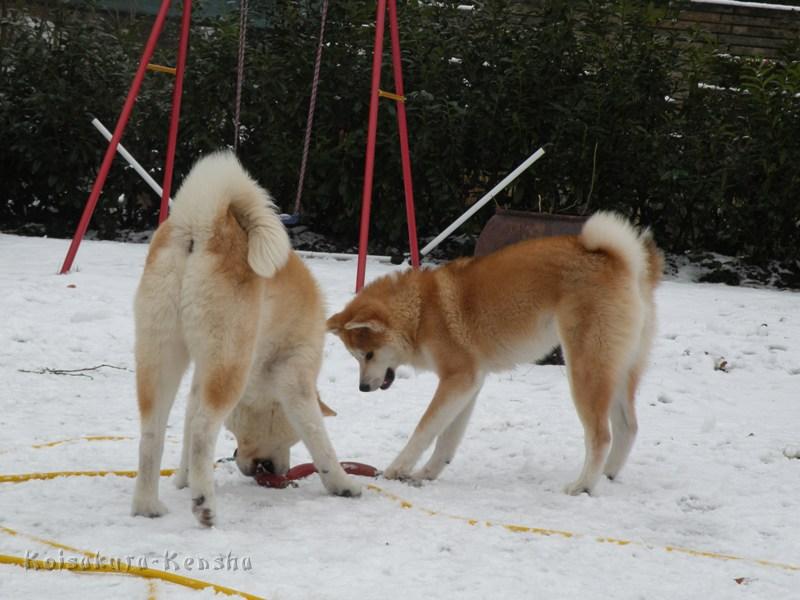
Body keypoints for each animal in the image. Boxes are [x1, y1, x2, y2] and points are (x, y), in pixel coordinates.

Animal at [326, 213, 664, 494]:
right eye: (355, 356)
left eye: (368, 354)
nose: (362, 388)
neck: (421, 311)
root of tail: (623, 261)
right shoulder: (468, 385)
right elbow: (446, 440)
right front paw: (427, 474)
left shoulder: (458, 379)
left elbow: (424, 429)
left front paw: (397, 469)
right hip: (618, 370)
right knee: (628, 427)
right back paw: (608, 474)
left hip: (585, 369)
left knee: (601, 436)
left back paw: (582, 485)